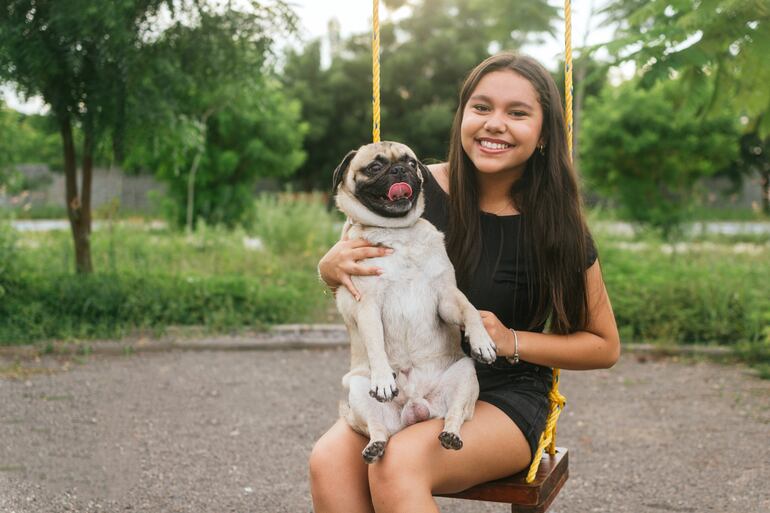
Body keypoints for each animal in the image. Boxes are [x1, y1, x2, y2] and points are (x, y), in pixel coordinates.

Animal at [332, 141, 498, 464]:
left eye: (411, 162)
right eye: (375, 167)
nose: (400, 170)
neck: (398, 233)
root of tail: (416, 408)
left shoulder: (445, 296)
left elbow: (469, 309)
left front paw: (482, 340)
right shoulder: (368, 305)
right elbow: (376, 344)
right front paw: (384, 379)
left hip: (464, 375)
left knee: (455, 415)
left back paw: (451, 435)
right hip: (358, 390)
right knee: (377, 428)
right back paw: (375, 445)